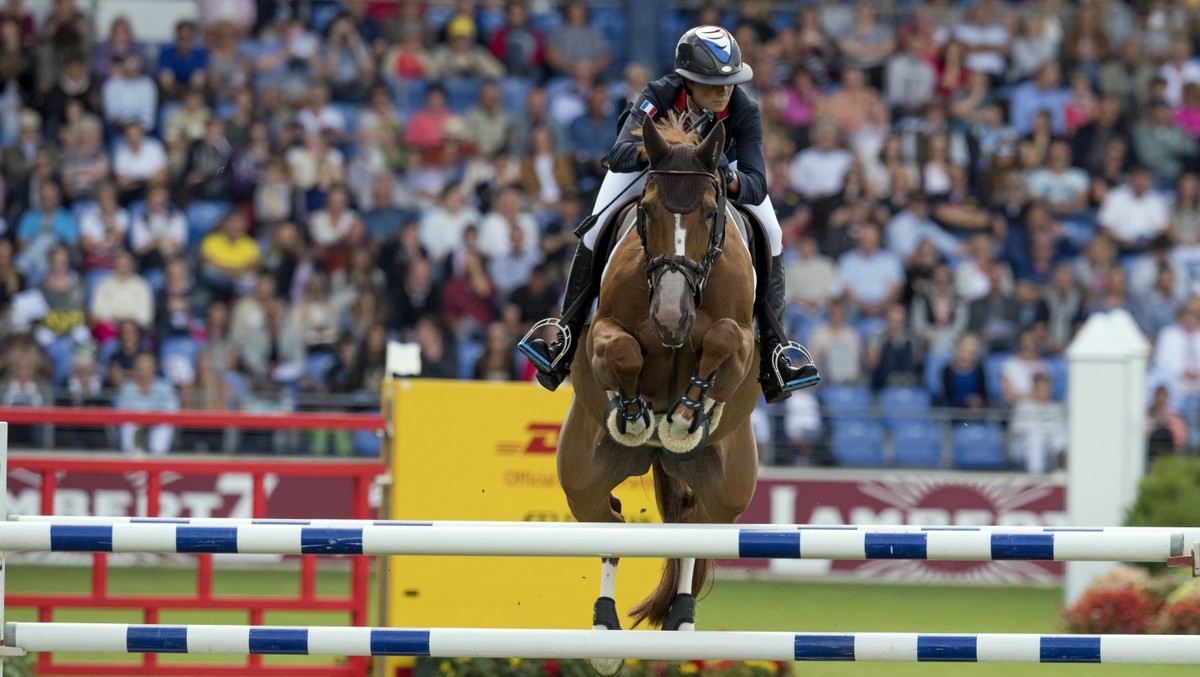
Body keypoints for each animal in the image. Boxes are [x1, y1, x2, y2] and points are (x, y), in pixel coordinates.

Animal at [554, 113, 758, 672]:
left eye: (710, 213)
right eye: (645, 211)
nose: (670, 318)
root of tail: (654, 460)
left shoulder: (743, 344)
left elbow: (724, 339)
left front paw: (686, 417)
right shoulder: (602, 333)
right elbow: (623, 351)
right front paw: (636, 413)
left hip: (731, 489)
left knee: (693, 527)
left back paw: (682, 619)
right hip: (581, 476)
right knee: (611, 524)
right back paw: (605, 633)